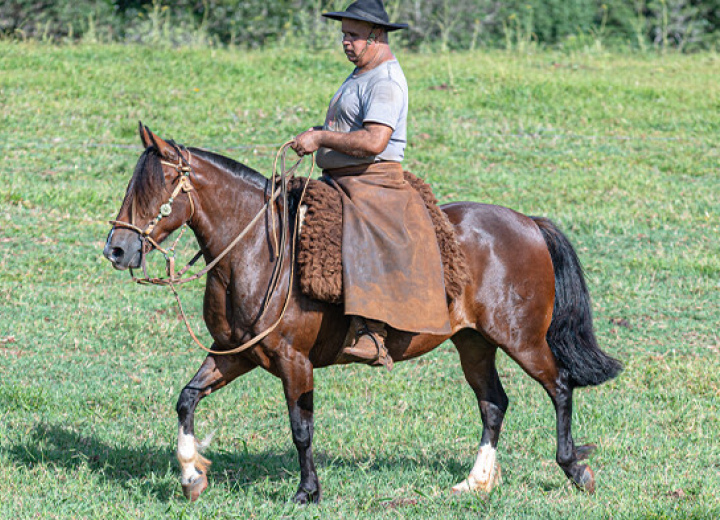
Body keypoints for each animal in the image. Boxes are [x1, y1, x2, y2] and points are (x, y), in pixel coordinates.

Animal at [104, 123, 620, 504]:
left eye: (159, 186)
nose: (117, 248)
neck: (259, 252)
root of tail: (528, 222)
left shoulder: (295, 361)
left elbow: (301, 428)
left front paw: (307, 492)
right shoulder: (236, 353)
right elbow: (187, 398)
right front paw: (192, 477)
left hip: (522, 340)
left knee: (560, 387)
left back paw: (575, 468)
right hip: (474, 343)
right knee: (493, 403)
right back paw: (475, 482)